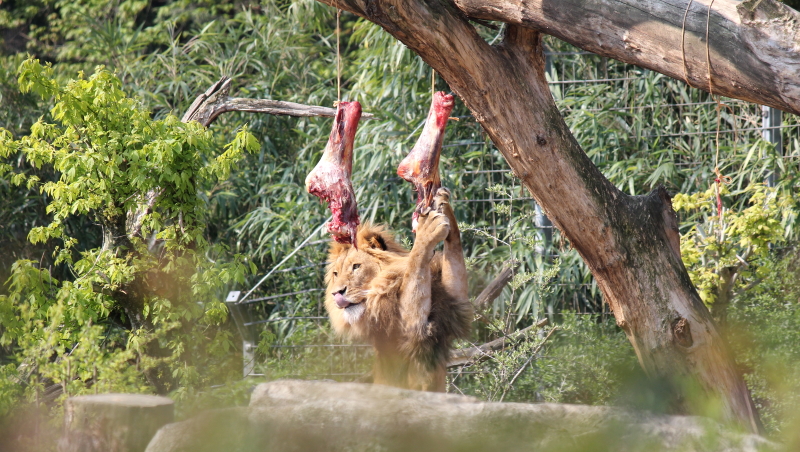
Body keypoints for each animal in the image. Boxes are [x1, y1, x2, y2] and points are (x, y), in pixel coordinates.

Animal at [324, 187, 472, 392]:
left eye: (356, 267)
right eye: (336, 274)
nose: (336, 293)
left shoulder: (454, 302)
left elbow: (455, 252)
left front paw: (442, 201)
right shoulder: (408, 328)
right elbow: (415, 265)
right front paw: (427, 229)